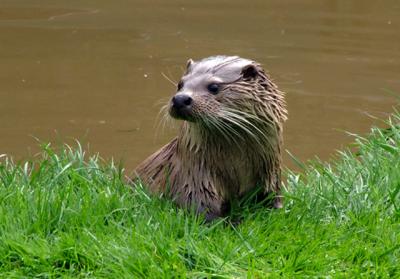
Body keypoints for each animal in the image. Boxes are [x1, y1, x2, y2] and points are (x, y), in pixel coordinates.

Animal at [136, 55, 286, 222]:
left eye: (214, 87)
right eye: (180, 84)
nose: (180, 99)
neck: (236, 169)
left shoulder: (271, 178)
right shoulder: (195, 180)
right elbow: (203, 211)